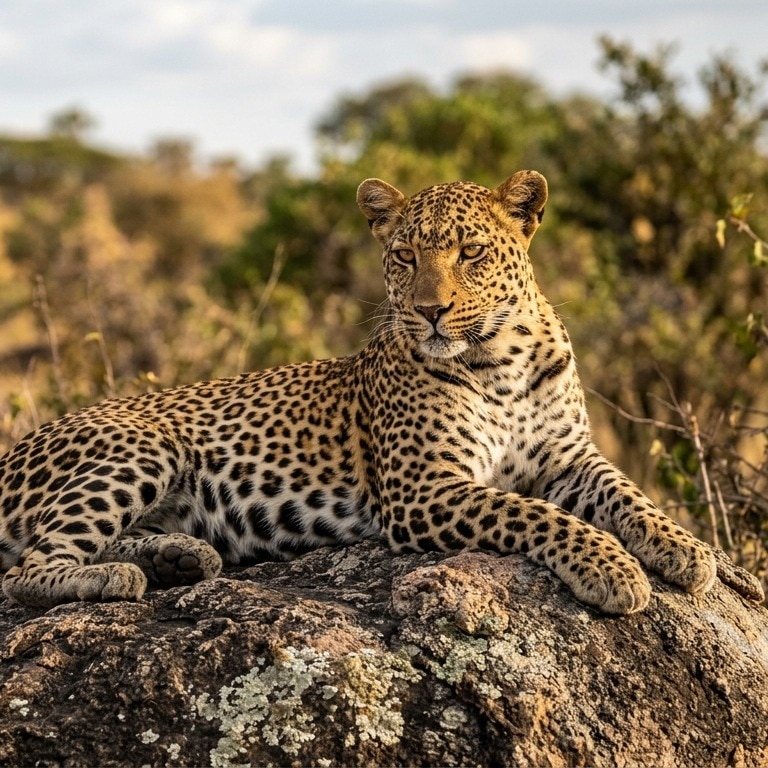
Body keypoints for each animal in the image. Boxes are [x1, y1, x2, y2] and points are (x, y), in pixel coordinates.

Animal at [0, 170, 762, 613]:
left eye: (470, 252)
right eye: (404, 255)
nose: (430, 311)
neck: (503, 359)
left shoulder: (569, 456)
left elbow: (627, 494)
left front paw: (685, 550)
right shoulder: (425, 488)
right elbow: (539, 516)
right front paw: (613, 570)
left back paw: (179, 557)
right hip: (142, 445)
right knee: (29, 566)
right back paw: (113, 581)